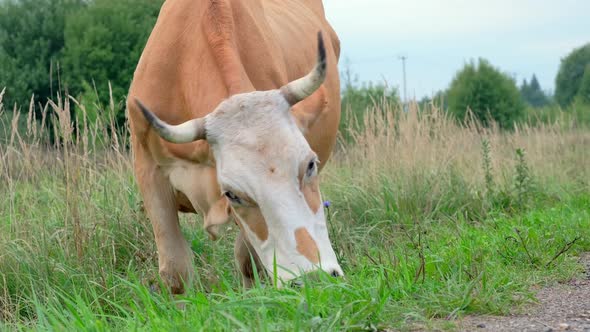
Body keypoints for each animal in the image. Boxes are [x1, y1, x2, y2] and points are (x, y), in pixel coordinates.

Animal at [129, 0, 342, 294]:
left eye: (310, 164)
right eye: (231, 194)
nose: (314, 279)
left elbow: (248, 260)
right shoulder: (148, 168)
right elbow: (175, 272)